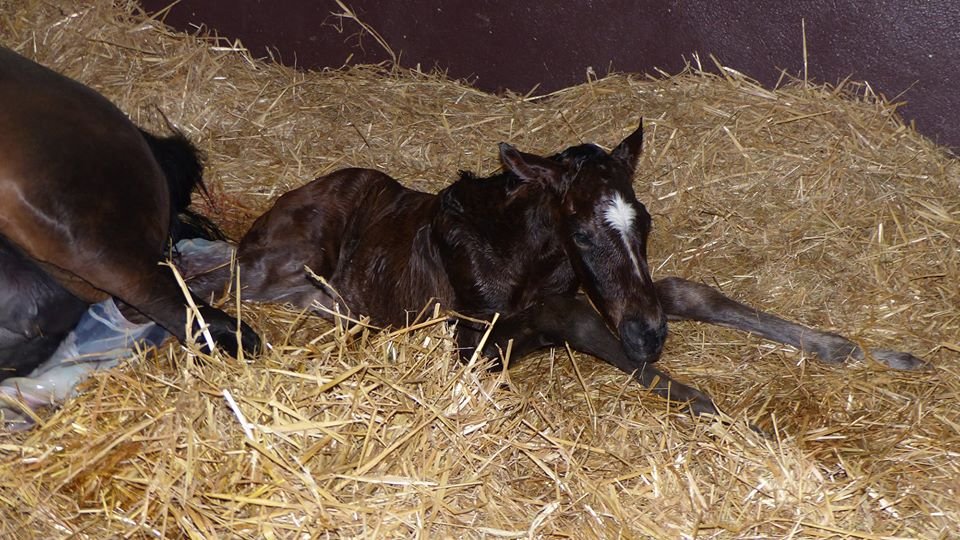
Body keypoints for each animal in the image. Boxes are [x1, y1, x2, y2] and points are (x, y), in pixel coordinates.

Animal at [189, 121, 925, 417]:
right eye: (580, 229)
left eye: (645, 222)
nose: (651, 336)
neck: (520, 256)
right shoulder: (477, 340)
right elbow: (588, 326)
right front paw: (704, 402)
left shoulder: (607, 292)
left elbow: (685, 292)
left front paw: (851, 349)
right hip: (284, 257)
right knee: (211, 277)